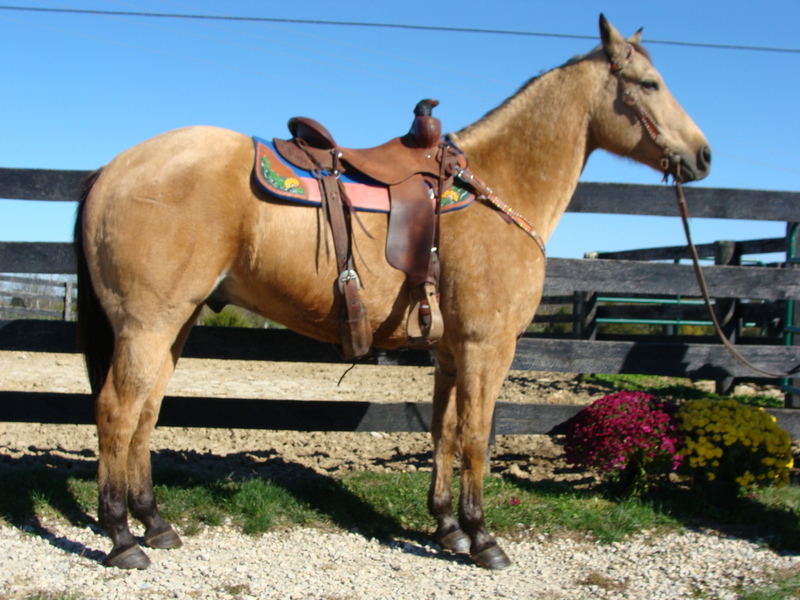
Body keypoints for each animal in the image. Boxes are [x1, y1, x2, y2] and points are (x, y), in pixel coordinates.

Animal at [74, 15, 710, 570]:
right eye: (649, 84)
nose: (703, 155)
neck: (496, 189)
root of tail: (112, 168)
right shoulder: (486, 347)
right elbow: (477, 437)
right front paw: (482, 538)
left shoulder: (450, 350)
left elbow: (444, 432)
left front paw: (448, 528)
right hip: (147, 326)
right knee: (116, 411)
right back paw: (122, 538)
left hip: (173, 324)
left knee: (147, 411)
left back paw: (155, 523)